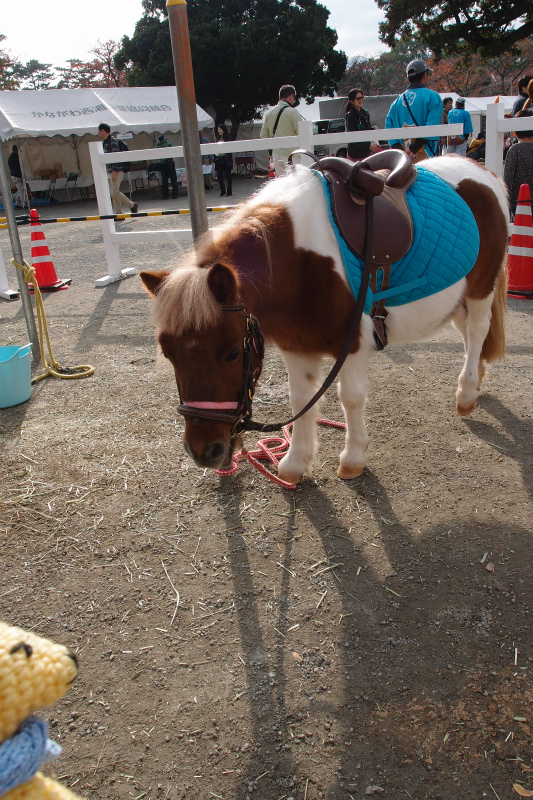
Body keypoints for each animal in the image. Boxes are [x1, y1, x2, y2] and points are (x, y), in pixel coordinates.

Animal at [140, 153, 509, 484]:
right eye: (169, 356)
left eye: (232, 352)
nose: (203, 451)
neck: (296, 260)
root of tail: (482, 171)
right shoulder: (296, 346)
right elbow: (301, 399)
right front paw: (293, 464)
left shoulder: (353, 344)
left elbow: (351, 398)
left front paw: (353, 459)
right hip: (456, 297)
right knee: (468, 336)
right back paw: (475, 381)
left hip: (480, 288)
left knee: (478, 331)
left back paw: (466, 394)